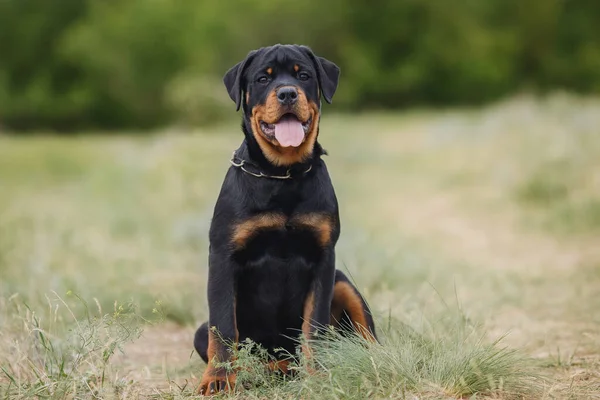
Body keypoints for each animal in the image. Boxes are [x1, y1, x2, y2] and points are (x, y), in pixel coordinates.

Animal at [195, 44, 378, 396]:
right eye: (262, 79)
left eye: (303, 75)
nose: (288, 93)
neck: (283, 174)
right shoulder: (223, 255)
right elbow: (223, 329)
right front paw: (218, 380)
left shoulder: (324, 258)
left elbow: (314, 328)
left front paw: (317, 376)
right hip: (202, 331)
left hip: (343, 283)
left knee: (368, 338)